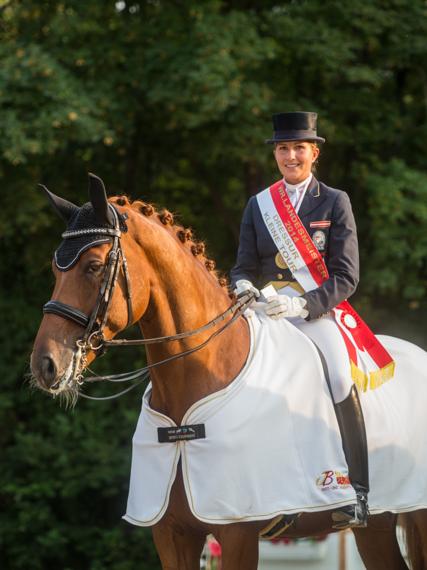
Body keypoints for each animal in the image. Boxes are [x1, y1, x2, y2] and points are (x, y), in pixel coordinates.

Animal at [31, 174, 427, 568]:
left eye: (94, 266)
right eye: (54, 268)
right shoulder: (172, 534)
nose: (45, 365)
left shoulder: (238, 531)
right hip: (376, 526)